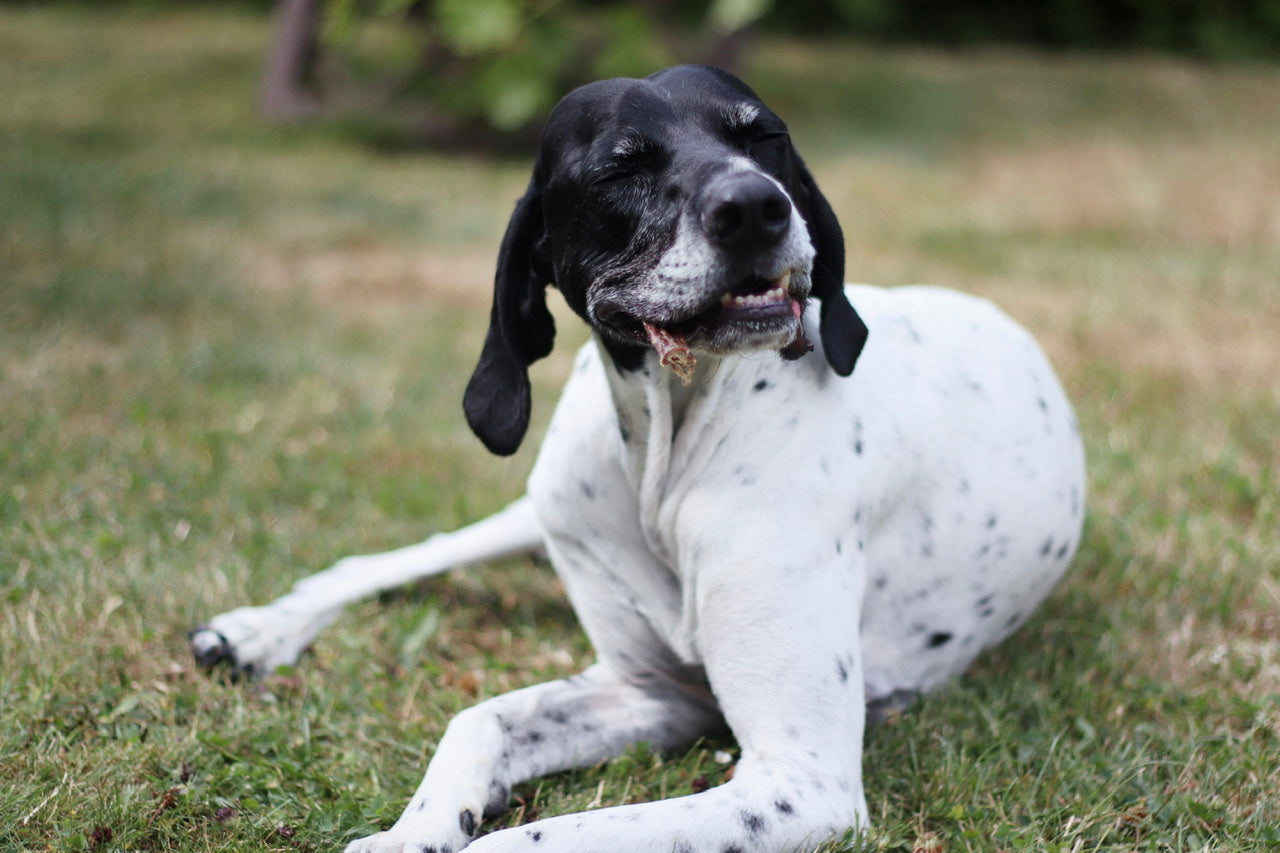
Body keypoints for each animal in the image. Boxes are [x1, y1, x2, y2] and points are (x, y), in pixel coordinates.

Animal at [194, 66, 1085, 850]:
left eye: (765, 137)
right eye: (622, 165)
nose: (757, 206)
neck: (671, 447)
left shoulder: (795, 777)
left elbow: (531, 834)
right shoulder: (649, 692)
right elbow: (477, 717)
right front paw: (411, 831)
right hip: (543, 506)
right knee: (381, 561)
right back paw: (257, 628)